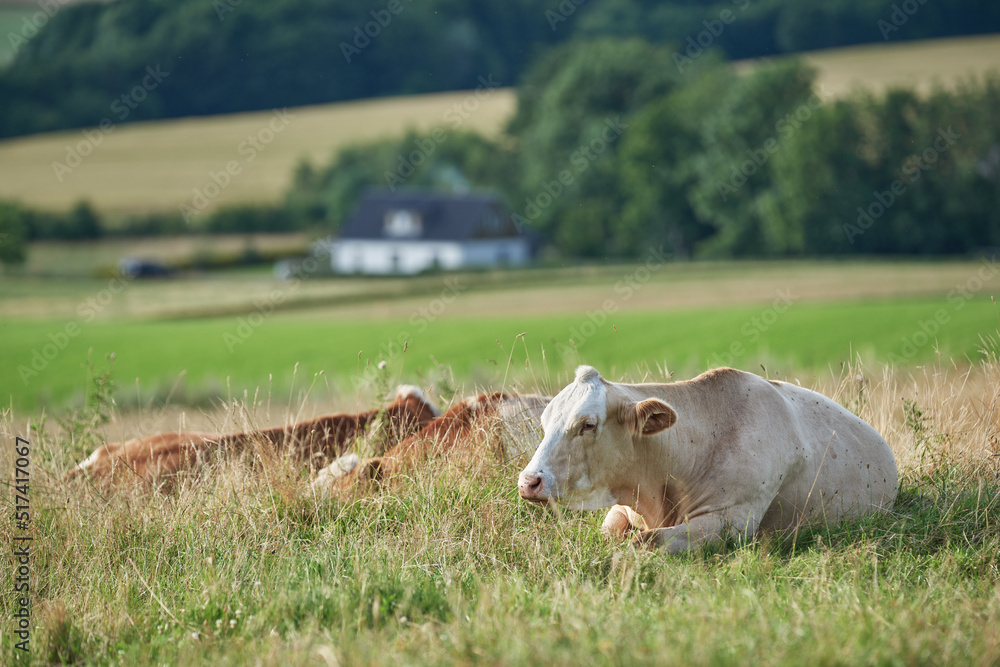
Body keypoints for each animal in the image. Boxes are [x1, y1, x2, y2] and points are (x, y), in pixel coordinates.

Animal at [520, 366, 896, 552]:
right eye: (544, 422)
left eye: (588, 424)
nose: (528, 482)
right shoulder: (621, 510)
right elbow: (612, 535)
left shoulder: (731, 521)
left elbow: (644, 542)